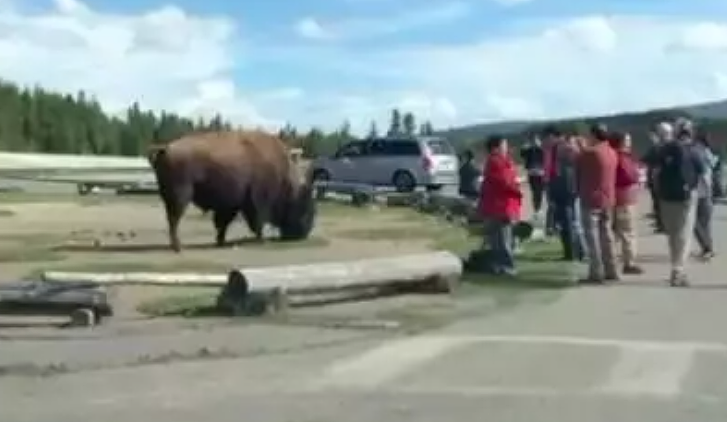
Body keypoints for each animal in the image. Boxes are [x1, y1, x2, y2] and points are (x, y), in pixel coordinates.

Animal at [147, 130, 316, 252]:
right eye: (305, 209)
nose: (303, 234)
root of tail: (166, 148)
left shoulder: (231, 205)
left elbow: (223, 223)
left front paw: (220, 241)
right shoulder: (257, 202)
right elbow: (258, 220)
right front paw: (262, 240)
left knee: (171, 220)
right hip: (181, 197)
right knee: (174, 220)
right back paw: (178, 247)